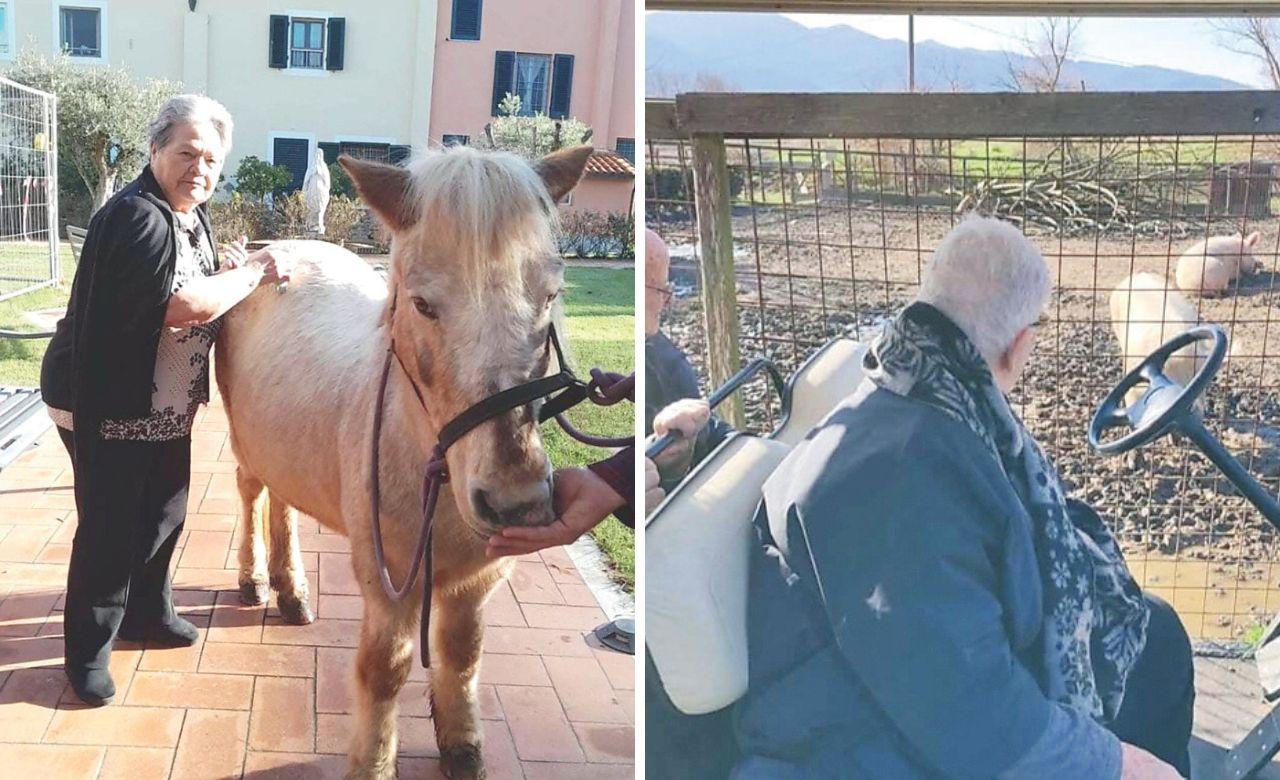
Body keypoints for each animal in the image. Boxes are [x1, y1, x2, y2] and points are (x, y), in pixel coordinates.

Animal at [213, 144, 594, 779]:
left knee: (284, 504)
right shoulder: (387, 583)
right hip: (246, 441)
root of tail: (271, 253)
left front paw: (462, 745)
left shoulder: (480, 578)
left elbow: (463, 655)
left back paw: (292, 591)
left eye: (550, 296)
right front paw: (373, 762)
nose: (515, 500)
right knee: (252, 491)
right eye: (422, 303)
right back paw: (256, 578)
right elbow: (384, 671)